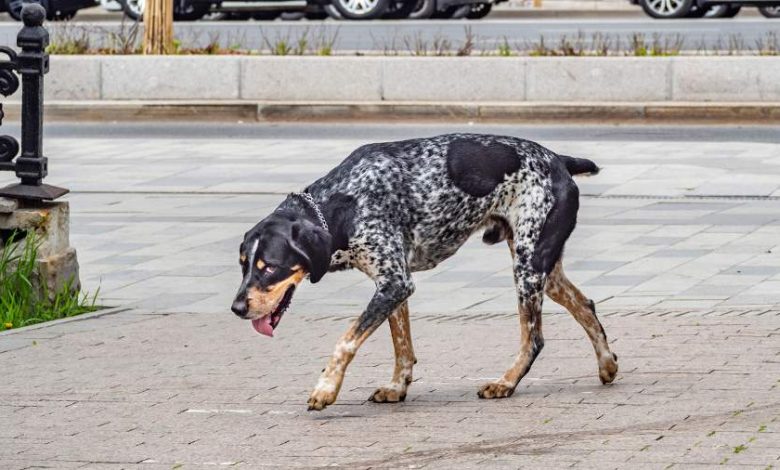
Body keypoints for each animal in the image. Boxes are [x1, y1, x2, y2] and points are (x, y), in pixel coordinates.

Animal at [229, 133, 620, 412]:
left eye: (270, 266)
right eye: (244, 264)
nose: (237, 308)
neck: (343, 203)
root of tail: (559, 160)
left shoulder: (393, 284)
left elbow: (346, 341)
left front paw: (326, 388)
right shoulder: (393, 285)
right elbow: (402, 346)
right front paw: (397, 387)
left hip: (528, 266)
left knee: (534, 339)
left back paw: (506, 383)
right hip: (543, 270)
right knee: (585, 305)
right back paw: (606, 365)